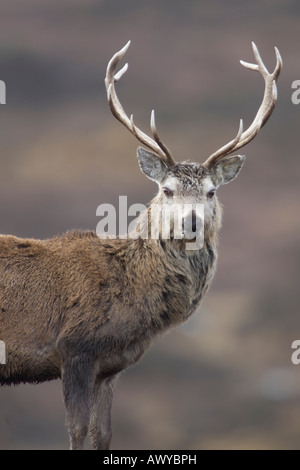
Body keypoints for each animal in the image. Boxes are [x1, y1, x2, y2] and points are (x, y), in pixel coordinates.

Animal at [0, 42, 282, 450]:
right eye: (167, 189)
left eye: (212, 191)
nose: (191, 222)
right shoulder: (74, 349)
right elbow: (77, 432)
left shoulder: (109, 368)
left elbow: (103, 434)